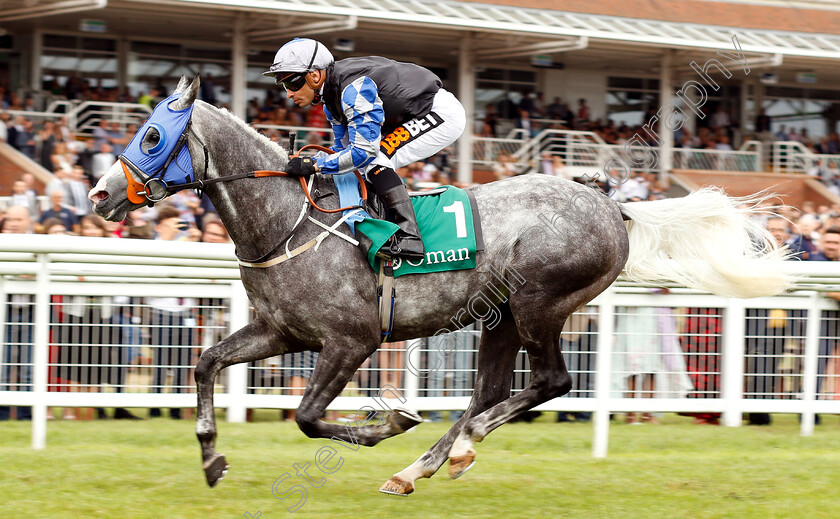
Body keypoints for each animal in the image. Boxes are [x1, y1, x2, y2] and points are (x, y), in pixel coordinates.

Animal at [88, 76, 792, 496]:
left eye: (152, 135)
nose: (98, 195)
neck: (288, 221)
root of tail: (611, 202)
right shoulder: (278, 331)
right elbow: (206, 362)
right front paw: (211, 458)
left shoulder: (352, 340)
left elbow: (309, 417)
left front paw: (389, 422)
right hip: (499, 315)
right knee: (491, 391)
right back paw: (419, 468)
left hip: (539, 302)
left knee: (548, 382)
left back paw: (452, 450)